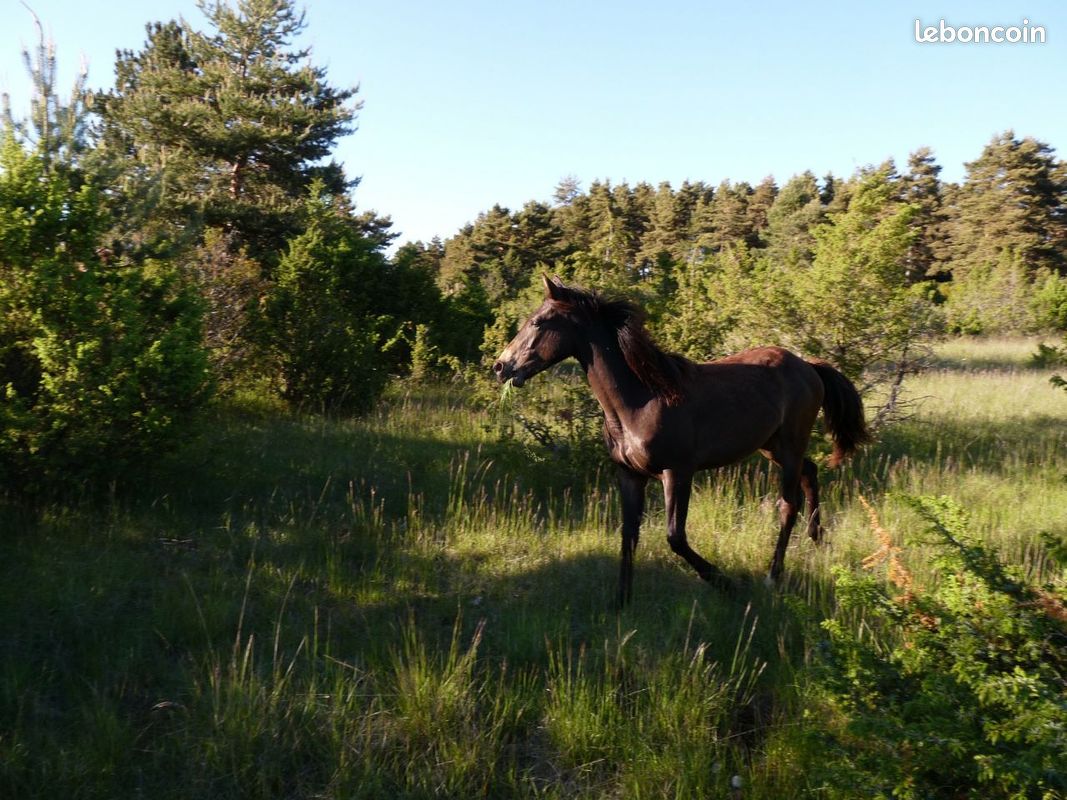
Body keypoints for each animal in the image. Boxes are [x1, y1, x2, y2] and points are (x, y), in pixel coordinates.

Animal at [493, 275, 869, 606]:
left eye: (539, 321)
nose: (501, 366)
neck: (640, 401)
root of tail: (808, 365)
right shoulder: (630, 476)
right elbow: (628, 534)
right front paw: (620, 602)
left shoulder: (677, 473)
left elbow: (675, 537)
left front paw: (727, 583)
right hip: (771, 446)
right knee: (811, 472)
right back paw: (818, 539)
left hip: (789, 445)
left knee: (788, 506)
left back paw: (772, 576)